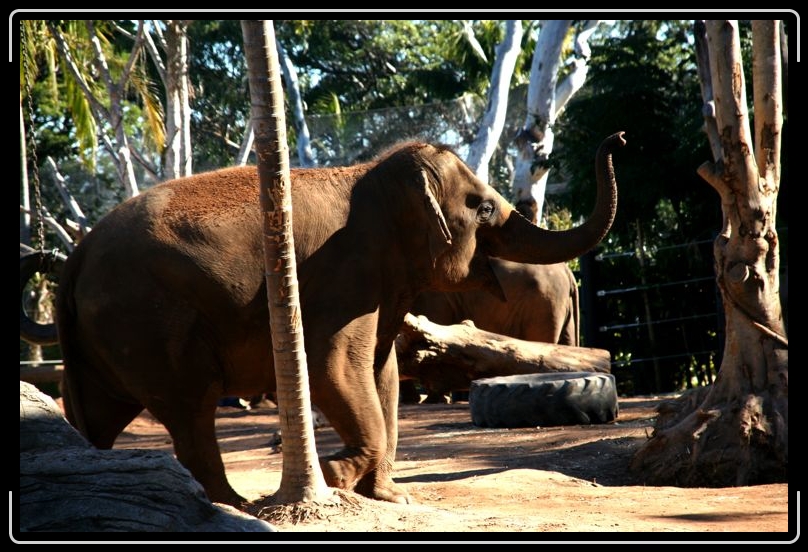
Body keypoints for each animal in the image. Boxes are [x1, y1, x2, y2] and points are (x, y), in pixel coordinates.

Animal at [54, 132, 624, 507]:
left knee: (99, 420)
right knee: (191, 410)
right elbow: (334, 367)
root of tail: (73, 260)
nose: (617, 137)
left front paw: (390, 497)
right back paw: (235, 506)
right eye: (482, 208)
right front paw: (334, 474)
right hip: (147, 322)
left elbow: (381, 374)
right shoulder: (343, 274)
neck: (371, 174)